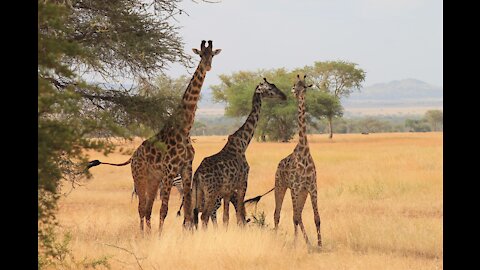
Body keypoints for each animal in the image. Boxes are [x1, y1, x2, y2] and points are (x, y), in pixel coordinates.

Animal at [87, 40, 220, 232]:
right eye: (201, 55)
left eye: (212, 55)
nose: (208, 66)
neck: (184, 129)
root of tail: (132, 157)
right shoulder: (170, 170)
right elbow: (164, 209)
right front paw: (160, 234)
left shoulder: (186, 168)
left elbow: (187, 209)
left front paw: (187, 233)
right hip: (140, 177)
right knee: (142, 207)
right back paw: (144, 234)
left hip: (153, 179)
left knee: (148, 208)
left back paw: (148, 233)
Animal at [192, 78, 288, 228]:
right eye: (270, 88)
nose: (284, 96)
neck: (243, 144)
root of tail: (197, 175)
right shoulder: (243, 183)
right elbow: (238, 216)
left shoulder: (227, 190)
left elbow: (226, 218)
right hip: (211, 192)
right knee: (205, 216)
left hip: (199, 193)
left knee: (194, 216)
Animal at [274, 74, 322, 247]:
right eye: (295, 84)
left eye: (304, 86)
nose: (295, 91)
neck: (304, 152)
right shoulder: (295, 187)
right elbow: (294, 218)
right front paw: (295, 244)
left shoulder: (312, 187)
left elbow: (317, 218)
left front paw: (320, 244)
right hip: (280, 187)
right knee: (278, 214)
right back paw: (277, 238)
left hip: (302, 193)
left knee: (298, 214)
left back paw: (308, 242)